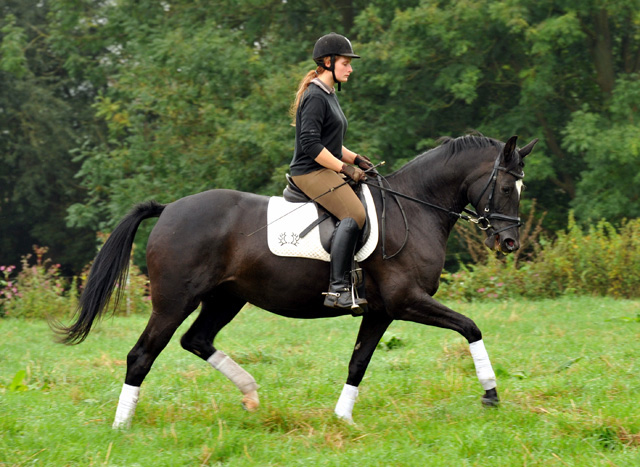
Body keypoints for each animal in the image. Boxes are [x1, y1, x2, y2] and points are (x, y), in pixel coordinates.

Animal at [56, 134, 536, 428]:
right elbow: (470, 327)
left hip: (225, 298)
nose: (509, 242)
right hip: (174, 301)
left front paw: (342, 418)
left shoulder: (381, 311)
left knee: (196, 340)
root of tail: (170, 208)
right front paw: (491, 395)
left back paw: (250, 395)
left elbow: (358, 363)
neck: (415, 209)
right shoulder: (406, 301)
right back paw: (122, 426)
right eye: (507, 188)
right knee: (141, 355)